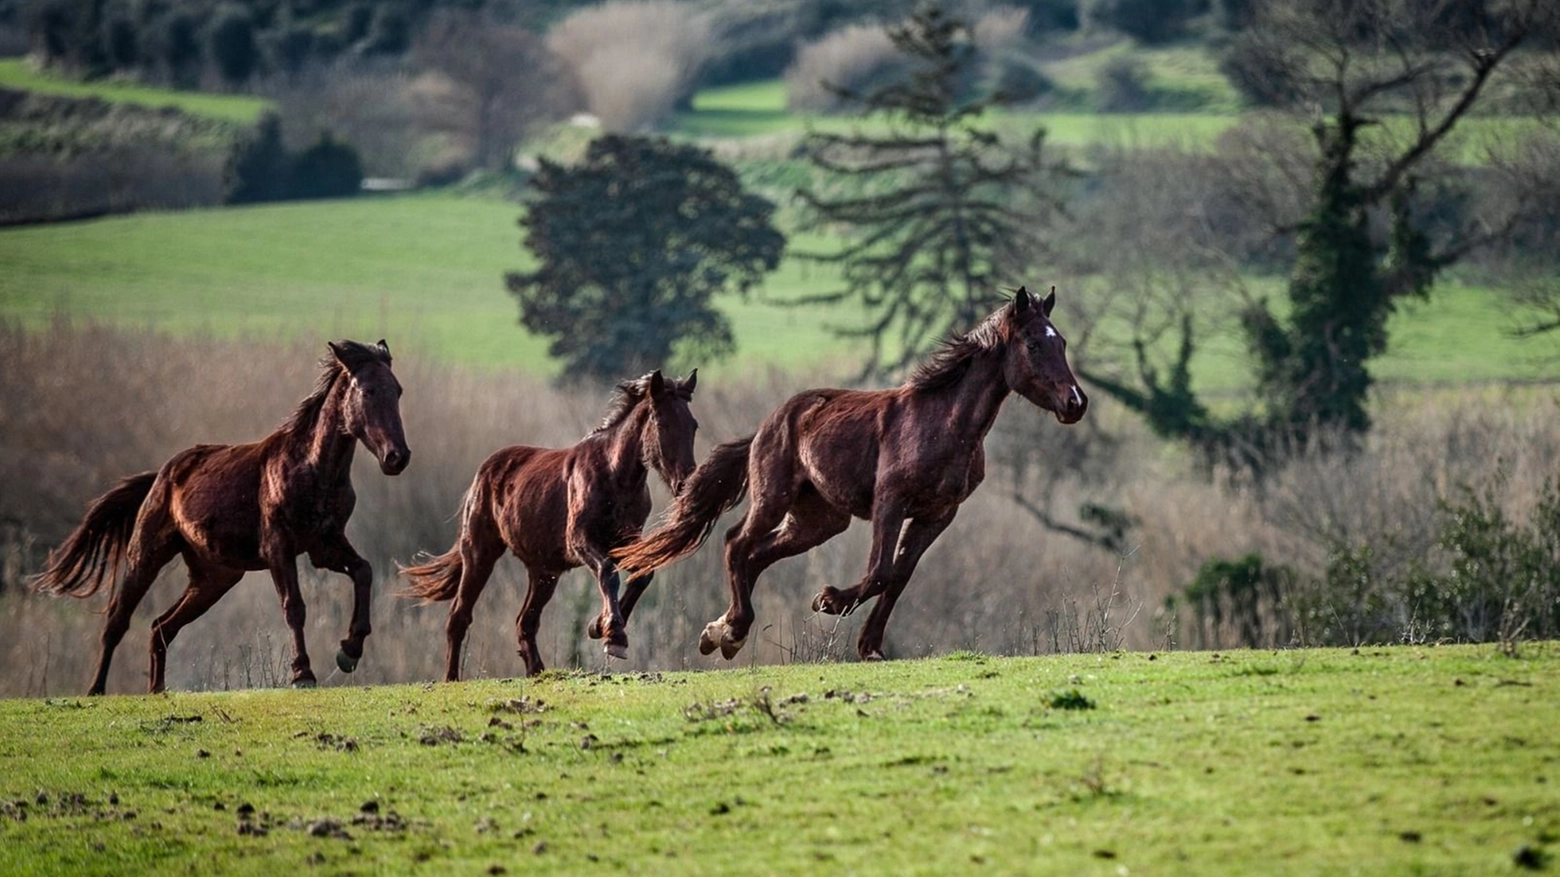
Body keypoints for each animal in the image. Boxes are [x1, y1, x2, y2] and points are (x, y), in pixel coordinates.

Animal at [34, 340, 411, 689]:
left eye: (398, 390)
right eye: (368, 390)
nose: (398, 457)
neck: (313, 470)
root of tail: (161, 475)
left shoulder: (324, 545)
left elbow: (363, 571)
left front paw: (349, 651)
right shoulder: (279, 548)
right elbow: (294, 606)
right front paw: (303, 674)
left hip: (214, 577)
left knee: (160, 627)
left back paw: (157, 691)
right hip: (147, 556)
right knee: (117, 621)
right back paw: (96, 690)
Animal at [399, 365, 698, 680]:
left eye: (693, 425)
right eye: (662, 424)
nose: (685, 483)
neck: (614, 476)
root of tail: (483, 473)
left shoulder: (625, 540)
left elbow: (642, 575)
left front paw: (599, 626)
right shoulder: (581, 541)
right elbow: (608, 573)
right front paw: (613, 634)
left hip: (543, 572)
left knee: (525, 622)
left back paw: (537, 671)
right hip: (480, 555)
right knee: (459, 615)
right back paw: (452, 678)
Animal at [608, 287, 1085, 661]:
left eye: (1060, 341)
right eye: (1033, 344)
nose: (1076, 403)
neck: (943, 423)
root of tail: (766, 425)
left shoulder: (937, 514)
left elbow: (899, 576)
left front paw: (870, 646)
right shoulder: (890, 503)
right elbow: (880, 571)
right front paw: (829, 601)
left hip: (819, 520)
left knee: (756, 554)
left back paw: (721, 630)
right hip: (773, 498)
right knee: (736, 543)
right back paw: (731, 633)